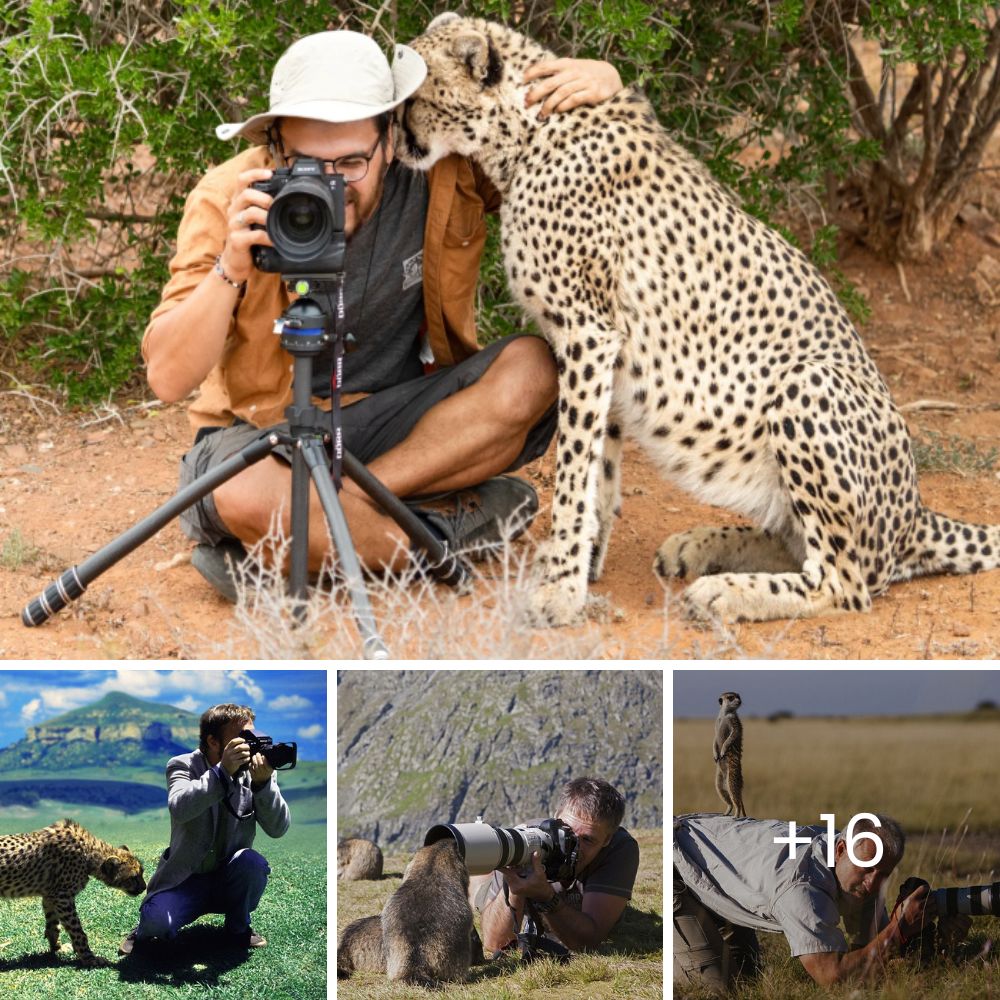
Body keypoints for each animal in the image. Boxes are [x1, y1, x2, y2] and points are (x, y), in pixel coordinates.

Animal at [0, 816, 146, 964]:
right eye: (133, 877)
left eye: (142, 872)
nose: (144, 887)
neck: (89, 852)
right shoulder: (62, 897)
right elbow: (77, 931)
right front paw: (89, 958)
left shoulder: (50, 895)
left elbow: (53, 924)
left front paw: (56, 948)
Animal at [396, 13, 1000, 624]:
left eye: (414, 99)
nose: (396, 144)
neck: (525, 131)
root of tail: (917, 513)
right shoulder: (607, 346)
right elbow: (600, 472)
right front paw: (582, 568)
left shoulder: (588, 333)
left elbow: (573, 471)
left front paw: (560, 588)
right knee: (798, 544)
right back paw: (701, 547)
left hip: (807, 382)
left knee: (844, 583)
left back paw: (728, 590)